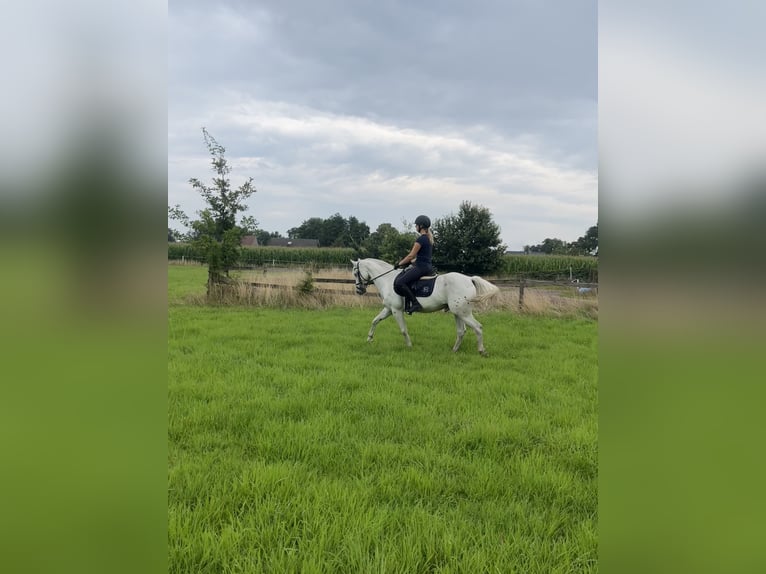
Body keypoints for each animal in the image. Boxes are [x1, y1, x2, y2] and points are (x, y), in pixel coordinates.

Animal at [352, 258, 500, 356]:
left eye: (355, 273)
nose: (359, 290)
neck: (388, 280)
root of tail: (469, 279)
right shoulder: (388, 309)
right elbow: (375, 321)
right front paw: (369, 339)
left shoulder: (396, 310)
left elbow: (403, 330)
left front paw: (409, 346)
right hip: (457, 313)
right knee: (461, 331)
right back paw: (454, 350)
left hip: (463, 313)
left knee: (478, 327)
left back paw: (481, 351)